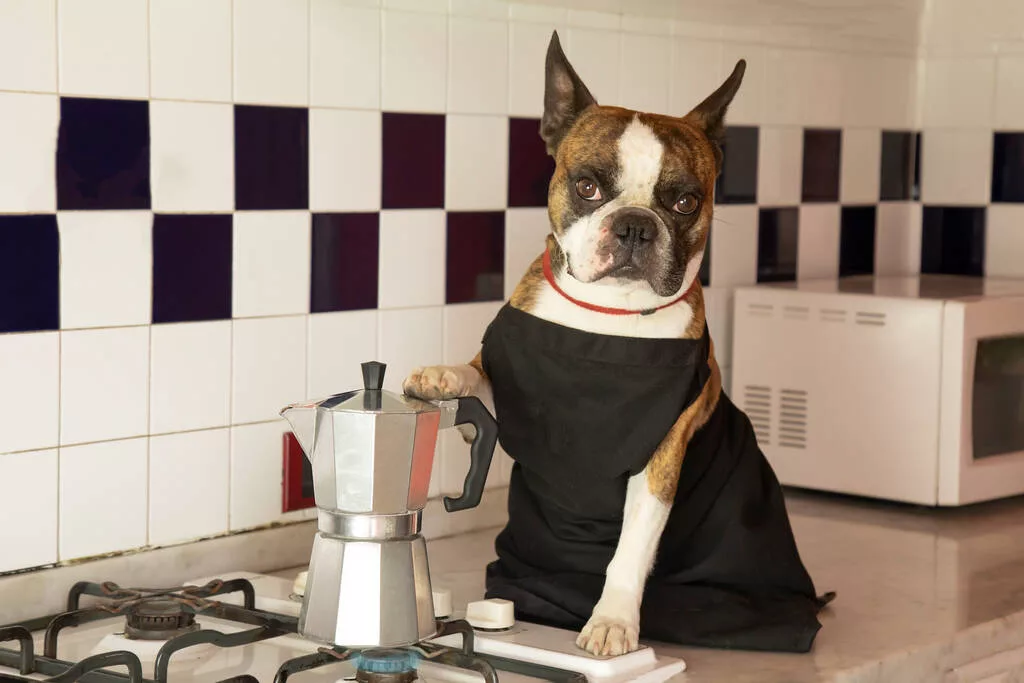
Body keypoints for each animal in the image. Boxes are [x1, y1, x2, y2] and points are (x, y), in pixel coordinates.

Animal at [403, 31, 827, 655]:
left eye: (685, 202)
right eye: (587, 186)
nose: (634, 225)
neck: (609, 315)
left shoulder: (659, 460)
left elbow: (631, 547)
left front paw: (612, 620)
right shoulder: (499, 386)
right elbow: (474, 373)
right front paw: (441, 376)